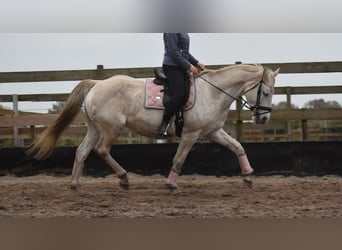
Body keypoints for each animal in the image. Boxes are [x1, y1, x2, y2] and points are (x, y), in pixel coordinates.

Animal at [27, 64, 280, 189]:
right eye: (267, 92)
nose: (263, 119)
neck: (213, 92)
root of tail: (97, 84)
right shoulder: (191, 134)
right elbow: (179, 159)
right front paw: (170, 184)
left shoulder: (213, 132)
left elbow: (237, 147)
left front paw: (248, 176)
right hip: (111, 129)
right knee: (101, 150)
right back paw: (123, 178)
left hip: (95, 128)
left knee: (82, 151)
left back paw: (75, 184)